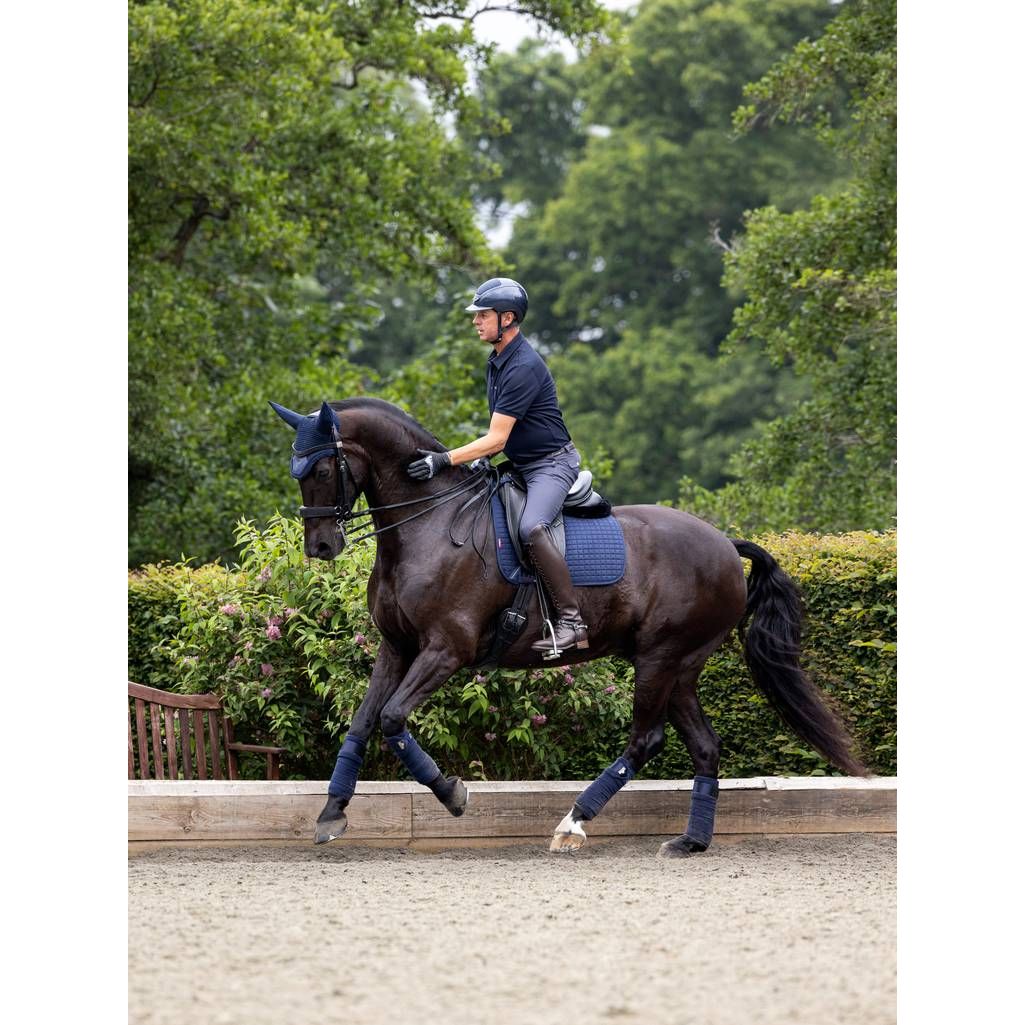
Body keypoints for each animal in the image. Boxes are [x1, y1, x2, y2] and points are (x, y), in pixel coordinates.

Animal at [270, 395, 865, 861]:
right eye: (296, 470)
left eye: (321, 470)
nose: (320, 547)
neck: (428, 527)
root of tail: (724, 543)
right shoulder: (396, 648)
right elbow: (363, 723)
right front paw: (331, 813)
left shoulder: (446, 649)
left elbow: (392, 720)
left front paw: (453, 793)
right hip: (680, 667)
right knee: (704, 745)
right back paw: (690, 841)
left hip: (660, 658)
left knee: (646, 739)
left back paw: (573, 822)